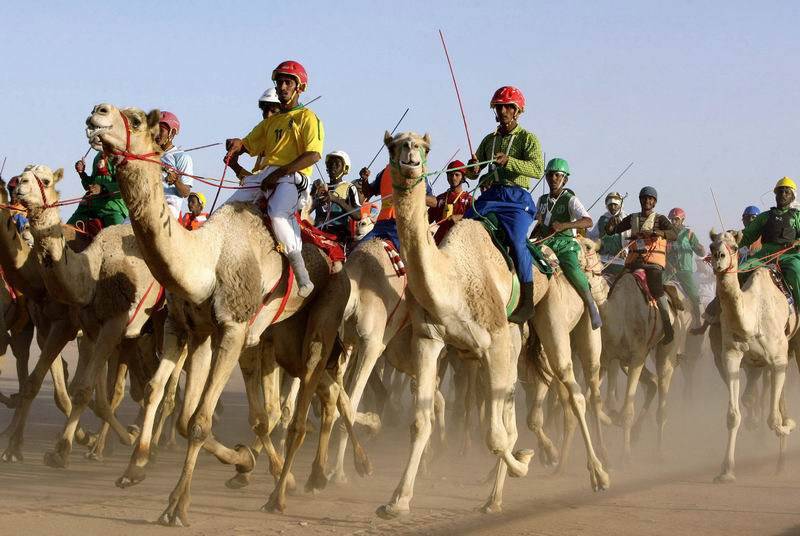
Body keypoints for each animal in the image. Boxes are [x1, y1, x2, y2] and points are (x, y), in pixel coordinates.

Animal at [13, 165, 162, 466]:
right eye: (24, 172)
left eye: (45, 180)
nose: (18, 185)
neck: (91, 275)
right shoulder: (88, 329)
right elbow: (90, 392)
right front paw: (65, 448)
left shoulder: (113, 324)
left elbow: (84, 389)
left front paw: (63, 450)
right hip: (136, 337)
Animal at [83, 102, 370, 524]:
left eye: (134, 119)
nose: (97, 112)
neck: (206, 259)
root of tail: (336, 254)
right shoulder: (190, 329)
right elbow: (171, 406)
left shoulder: (233, 328)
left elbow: (200, 422)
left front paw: (177, 506)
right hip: (280, 337)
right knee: (311, 394)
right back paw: (315, 474)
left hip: (325, 315)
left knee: (302, 412)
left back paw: (283, 494)